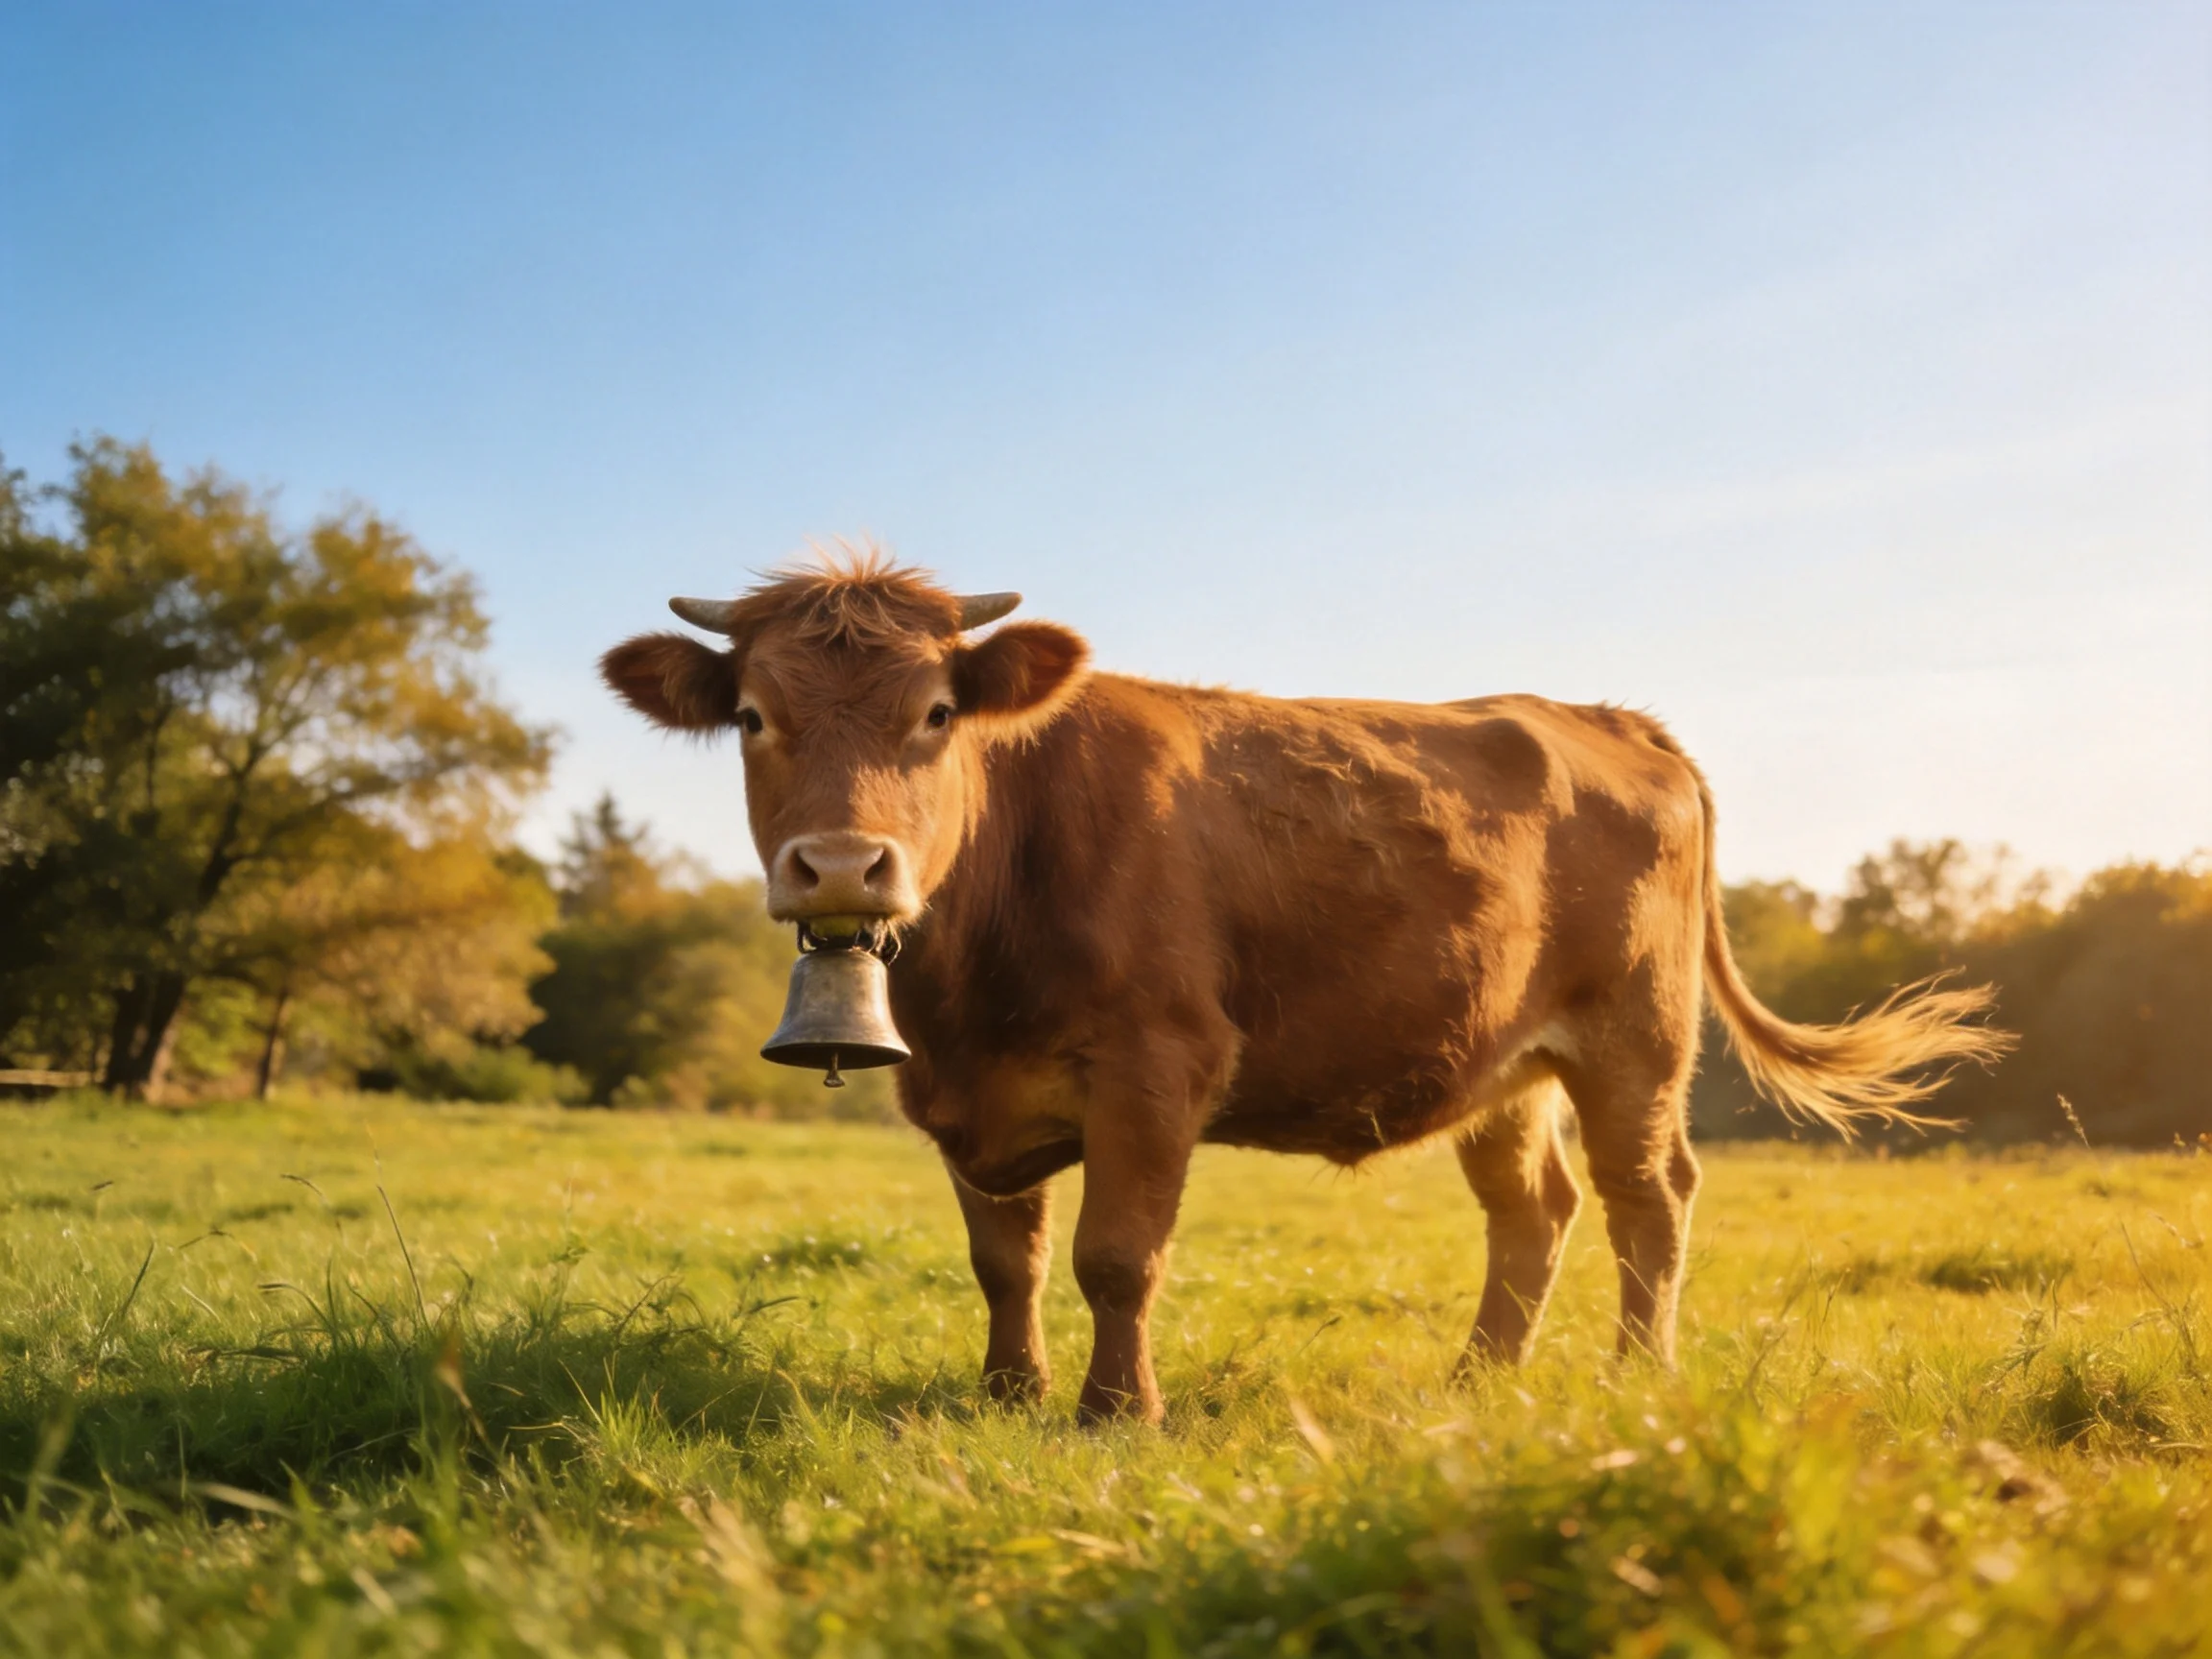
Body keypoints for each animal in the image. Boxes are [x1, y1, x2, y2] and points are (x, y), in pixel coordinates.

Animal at [601, 556, 2008, 1423]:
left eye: (939, 711)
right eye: (754, 717)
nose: (843, 865)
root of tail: (1605, 715)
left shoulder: (1157, 1065)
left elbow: (1118, 1254)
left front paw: (1117, 1414)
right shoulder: (964, 1097)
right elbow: (1006, 1261)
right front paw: (1007, 1397)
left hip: (1636, 1038)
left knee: (1648, 1200)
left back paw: (1634, 1380)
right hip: (1506, 1062)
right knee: (1536, 1209)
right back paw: (1478, 1380)